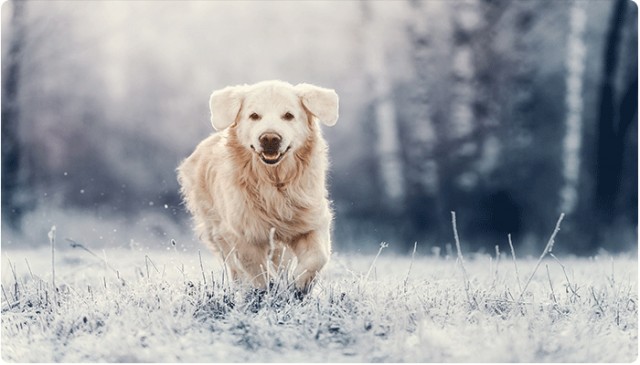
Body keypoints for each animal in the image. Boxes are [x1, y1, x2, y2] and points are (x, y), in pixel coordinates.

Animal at [176, 80, 336, 296]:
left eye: (288, 115)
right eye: (254, 116)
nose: (270, 138)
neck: (273, 182)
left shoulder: (310, 221)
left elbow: (318, 257)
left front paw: (298, 286)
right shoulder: (241, 232)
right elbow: (257, 269)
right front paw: (270, 291)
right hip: (216, 228)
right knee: (234, 266)